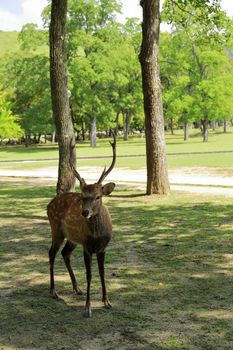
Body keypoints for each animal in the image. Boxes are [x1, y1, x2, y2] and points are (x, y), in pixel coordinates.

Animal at [47, 135, 116, 318]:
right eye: (82, 197)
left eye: (98, 196)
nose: (85, 212)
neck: (97, 236)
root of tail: (49, 204)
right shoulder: (87, 247)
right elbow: (89, 274)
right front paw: (87, 308)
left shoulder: (103, 247)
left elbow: (102, 272)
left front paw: (107, 301)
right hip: (56, 229)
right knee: (51, 253)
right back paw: (53, 291)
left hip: (72, 237)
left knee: (65, 253)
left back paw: (77, 288)